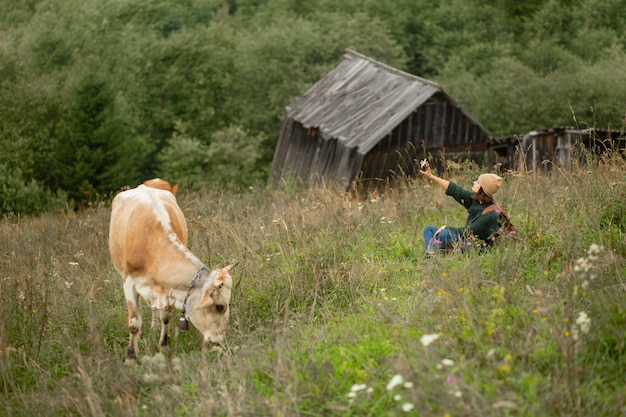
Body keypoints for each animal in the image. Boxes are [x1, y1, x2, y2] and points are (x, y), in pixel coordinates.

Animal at [107, 182, 234, 360]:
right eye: (220, 307)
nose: (219, 340)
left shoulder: (168, 289)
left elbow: (165, 317)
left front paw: (163, 346)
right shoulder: (129, 282)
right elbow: (134, 322)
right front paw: (131, 357)